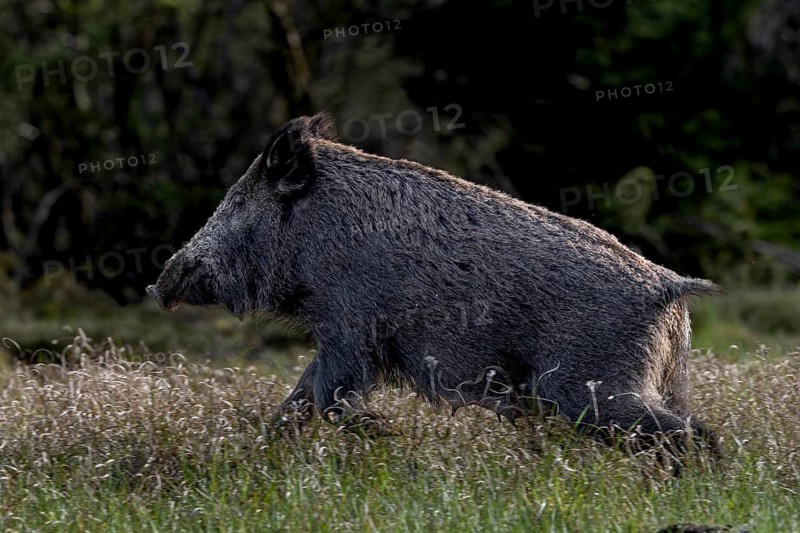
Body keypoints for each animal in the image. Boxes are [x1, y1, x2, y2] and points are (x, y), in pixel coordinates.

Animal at [147, 113, 720, 456]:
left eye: (240, 201)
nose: (159, 287)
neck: (316, 236)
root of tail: (670, 290)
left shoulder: (352, 327)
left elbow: (329, 394)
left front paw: (386, 433)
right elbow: (299, 396)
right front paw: (270, 448)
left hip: (591, 388)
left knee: (694, 433)